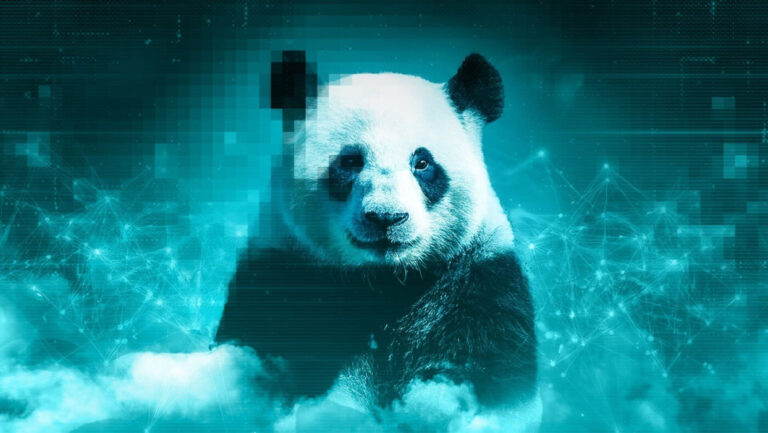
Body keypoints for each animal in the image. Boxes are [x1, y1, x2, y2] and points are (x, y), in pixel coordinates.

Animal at [216, 53, 539, 423]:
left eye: (422, 163)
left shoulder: (480, 282)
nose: (386, 217)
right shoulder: (280, 275)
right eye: (351, 161)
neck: (385, 280)